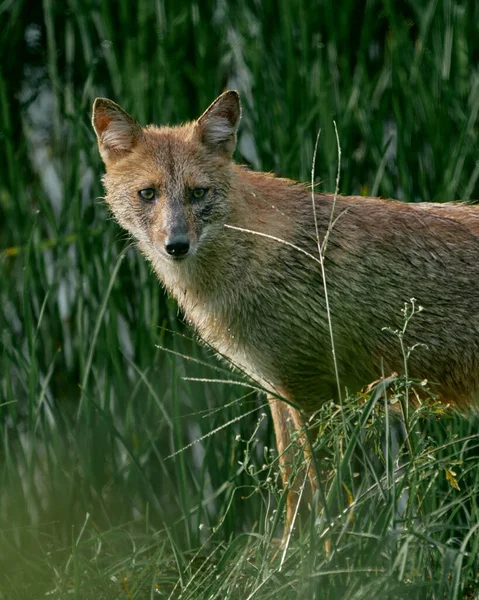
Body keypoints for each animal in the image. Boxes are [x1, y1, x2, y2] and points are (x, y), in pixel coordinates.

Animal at [92, 91, 479, 540]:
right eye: (148, 194)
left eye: (198, 193)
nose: (177, 245)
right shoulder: (279, 391)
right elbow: (296, 495)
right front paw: (288, 556)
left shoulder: (312, 393)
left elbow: (328, 503)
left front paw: (328, 558)